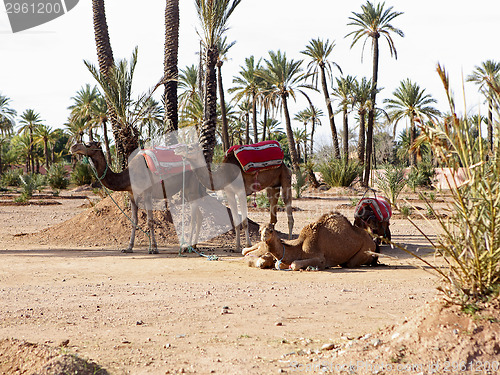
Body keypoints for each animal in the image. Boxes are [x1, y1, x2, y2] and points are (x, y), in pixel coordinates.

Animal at [69, 142, 204, 254]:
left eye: (88, 144)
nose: (73, 147)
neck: (129, 176)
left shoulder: (147, 194)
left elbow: (150, 221)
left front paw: (154, 248)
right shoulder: (132, 196)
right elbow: (134, 220)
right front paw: (128, 248)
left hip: (191, 185)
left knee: (193, 216)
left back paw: (187, 247)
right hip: (186, 190)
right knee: (199, 214)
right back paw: (194, 246)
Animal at [243, 212, 378, 270]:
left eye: (271, 230)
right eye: (260, 230)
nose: (263, 237)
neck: (300, 245)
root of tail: (372, 240)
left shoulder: (320, 258)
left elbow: (295, 264)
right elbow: (278, 263)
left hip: (365, 249)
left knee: (351, 263)